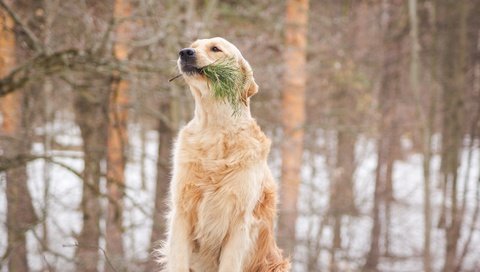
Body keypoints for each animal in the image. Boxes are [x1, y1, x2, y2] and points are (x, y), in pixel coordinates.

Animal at [160, 37, 288, 272]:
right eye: (193, 45)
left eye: (215, 48)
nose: (185, 52)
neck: (215, 129)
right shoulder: (182, 213)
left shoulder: (239, 222)